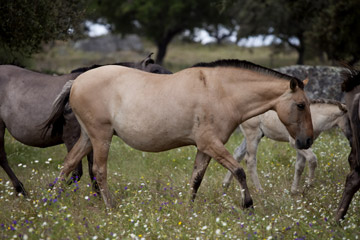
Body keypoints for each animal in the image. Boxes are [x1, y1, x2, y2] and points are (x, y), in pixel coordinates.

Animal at [0, 54, 172, 197]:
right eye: (156, 70)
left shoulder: (90, 138)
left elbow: (90, 170)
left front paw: (97, 196)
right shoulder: (72, 137)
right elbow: (77, 172)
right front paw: (51, 189)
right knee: (3, 158)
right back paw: (21, 189)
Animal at [46, 59, 314, 208]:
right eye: (301, 105)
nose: (307, 140)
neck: (220, 92)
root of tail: (76, 82)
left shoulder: (204, 148)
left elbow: (196, 178)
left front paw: (188, 208)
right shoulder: (211, 144)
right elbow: (238, 171)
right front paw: (248, 204)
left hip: (88, 138)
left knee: (68, 164)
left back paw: (53, 201)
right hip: (101, 137)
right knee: (99, 171)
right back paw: (110, 207)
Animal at [222, 98, 352, 192]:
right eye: (350, 119)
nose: (352, 139)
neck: (314, 117)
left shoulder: (303, 144)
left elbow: (299, 166)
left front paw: (294, 191)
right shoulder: (294, 142)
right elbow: (312, 159)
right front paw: (308, 185)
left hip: (252, 136)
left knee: (237, 153)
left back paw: (225, 185)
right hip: (253, 135)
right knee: (250, 160)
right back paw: (260, 191)